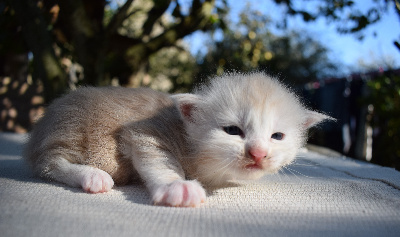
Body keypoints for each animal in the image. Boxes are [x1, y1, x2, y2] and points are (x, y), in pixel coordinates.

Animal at [25, 72, 332, 207]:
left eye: (277, 136)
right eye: (233, 131)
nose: (258, 153)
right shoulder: (147, 133)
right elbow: (161, 162)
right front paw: (179, 187)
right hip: (75, 130)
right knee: (48, 163)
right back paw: (92, 176)